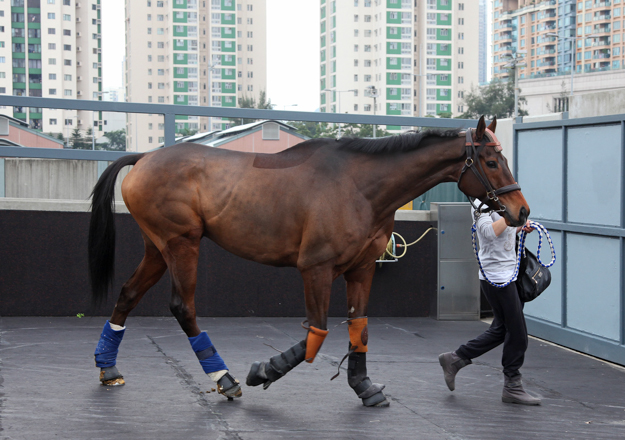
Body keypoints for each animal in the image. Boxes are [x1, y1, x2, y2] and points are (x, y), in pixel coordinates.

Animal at [88, 115, 528, 408]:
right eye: (491, 162)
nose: (520, 211)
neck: (360, 188)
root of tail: (145, 159)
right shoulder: (315, 269)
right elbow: (316, 334)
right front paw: (265, 370)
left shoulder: (361, 270)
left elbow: (359, 328)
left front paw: (364, 386)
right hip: (182, 244)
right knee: (183, 307)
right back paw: (225, 377)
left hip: (157, 248)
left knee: (127, 294)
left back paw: (109, 368)